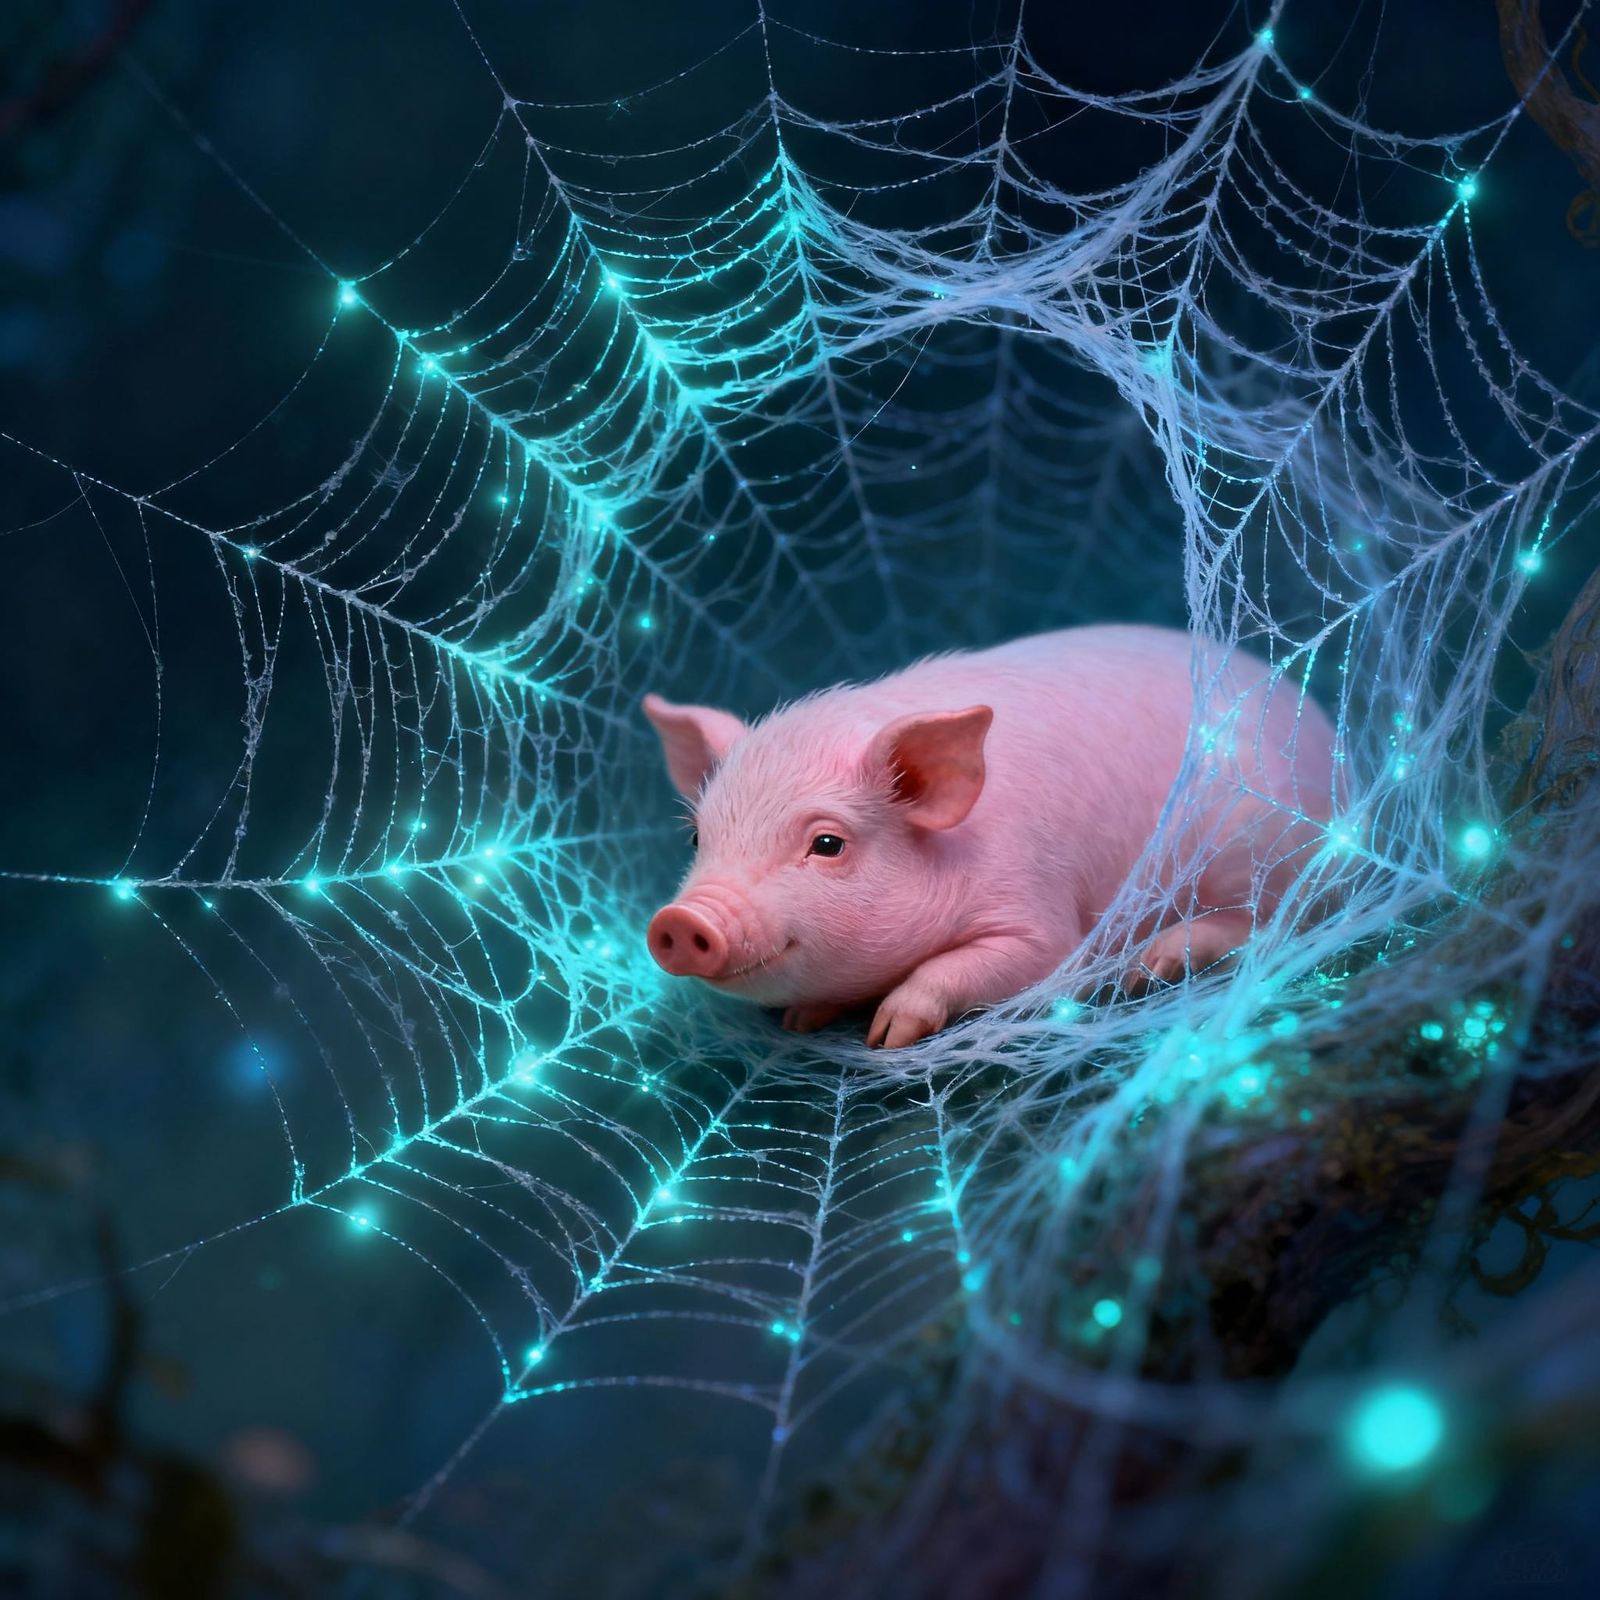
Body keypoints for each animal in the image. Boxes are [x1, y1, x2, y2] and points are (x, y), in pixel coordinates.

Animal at [642, 624, 1338, 1049]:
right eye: (697, 839)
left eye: (828, 844)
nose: (680, 920)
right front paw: (799, 1021)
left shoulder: (1040, 917)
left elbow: (1016, 960)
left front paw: (887, 1035)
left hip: (1256, 847)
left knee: (1272, 923)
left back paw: (1153, 967)